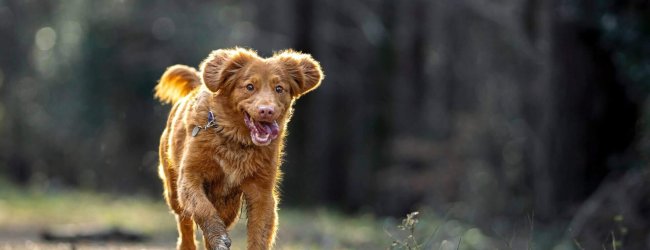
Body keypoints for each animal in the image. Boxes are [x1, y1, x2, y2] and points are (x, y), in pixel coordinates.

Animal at [153, 47, 324, 250]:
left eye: (279, 88)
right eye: (249, 87)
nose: (267, 111)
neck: (236, 141)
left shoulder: (262, 191)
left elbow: (260, 232)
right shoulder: (189, 177)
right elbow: (202, 208)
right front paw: (218, 237)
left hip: (229, 205)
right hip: (174, 192)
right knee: (184, 223)